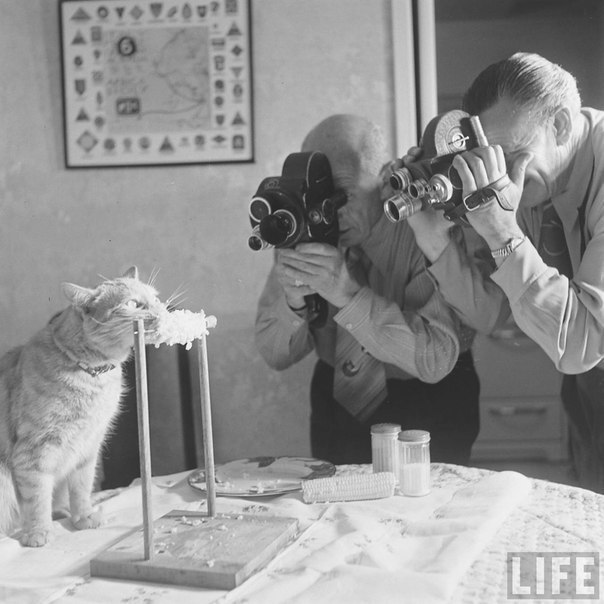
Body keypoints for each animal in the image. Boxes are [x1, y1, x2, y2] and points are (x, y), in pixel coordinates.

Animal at [0, 266, 165, 544]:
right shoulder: (33, 452)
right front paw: (38, 531)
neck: (92, 376)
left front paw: (83, 517)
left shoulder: (88, 447)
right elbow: (36, 497)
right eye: (133, 304)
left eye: (155, 298)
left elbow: (81, 488)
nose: (163, 311)